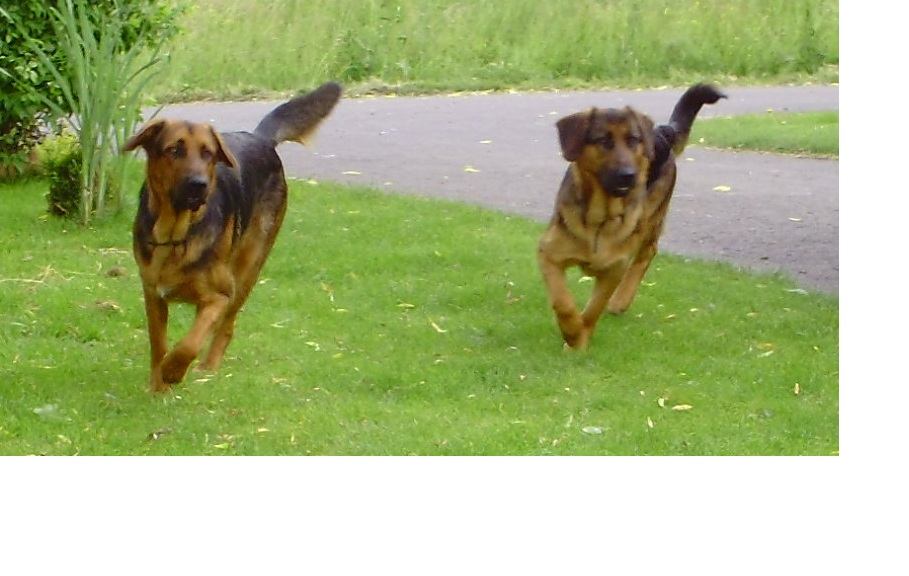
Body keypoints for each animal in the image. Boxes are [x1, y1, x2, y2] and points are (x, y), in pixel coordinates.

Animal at [124, 82, 342, 392]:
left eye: (208, 153)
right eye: (174, 149)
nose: (199, 185)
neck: (177, 233)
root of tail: (260, 138)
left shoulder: (219, 296)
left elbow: (189, 344)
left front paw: (174, 371)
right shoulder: (154, 296)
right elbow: (159, 344)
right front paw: (158, 386)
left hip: (247, 271)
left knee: (226, 327)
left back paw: (209, 366)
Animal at [537, 84, 725, 349]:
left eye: (633, 140)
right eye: (604, 140)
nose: (629, 175)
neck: (600, 219)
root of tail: (661, 132)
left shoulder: (615, 268)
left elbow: (594, 308)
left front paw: (579, 338)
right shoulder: (548, 254)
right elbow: (562, 301)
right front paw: (572, 332)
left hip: (648, 216)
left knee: (647, 252)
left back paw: (621, 299)